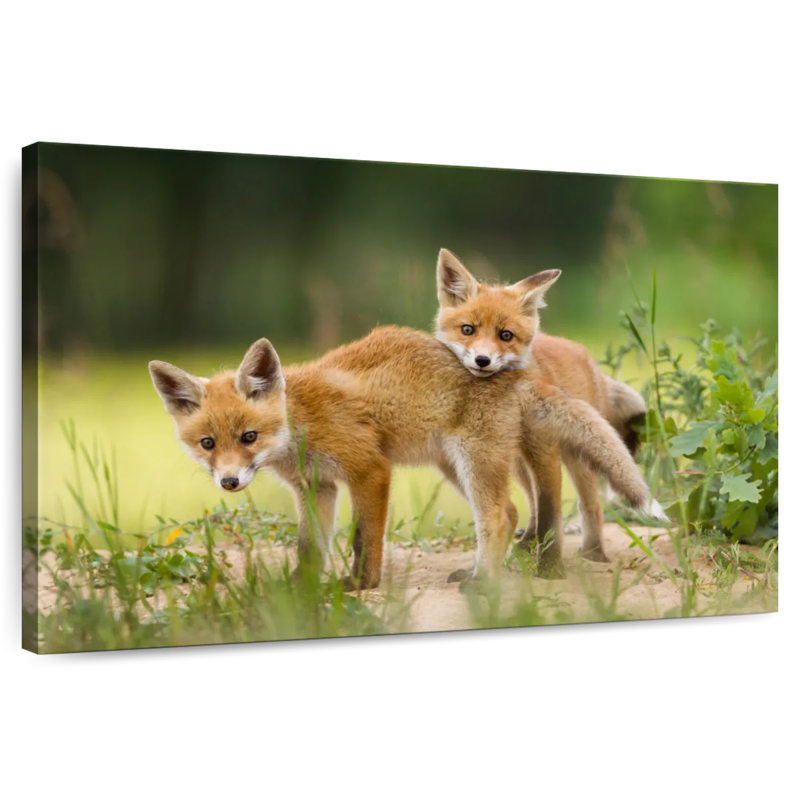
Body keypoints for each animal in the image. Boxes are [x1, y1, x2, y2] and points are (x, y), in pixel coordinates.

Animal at [434, 248, 657, 563]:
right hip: (519, 462)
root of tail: (587, 356)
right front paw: (529, 544)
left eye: (506, 335)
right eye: (468, 329)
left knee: (591, 505)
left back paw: (594, 553)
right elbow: (536, 506)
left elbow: (550, 508)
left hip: (577, 454)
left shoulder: (543, 450)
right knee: (533, 501)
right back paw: (529, 541)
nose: (482, 360)